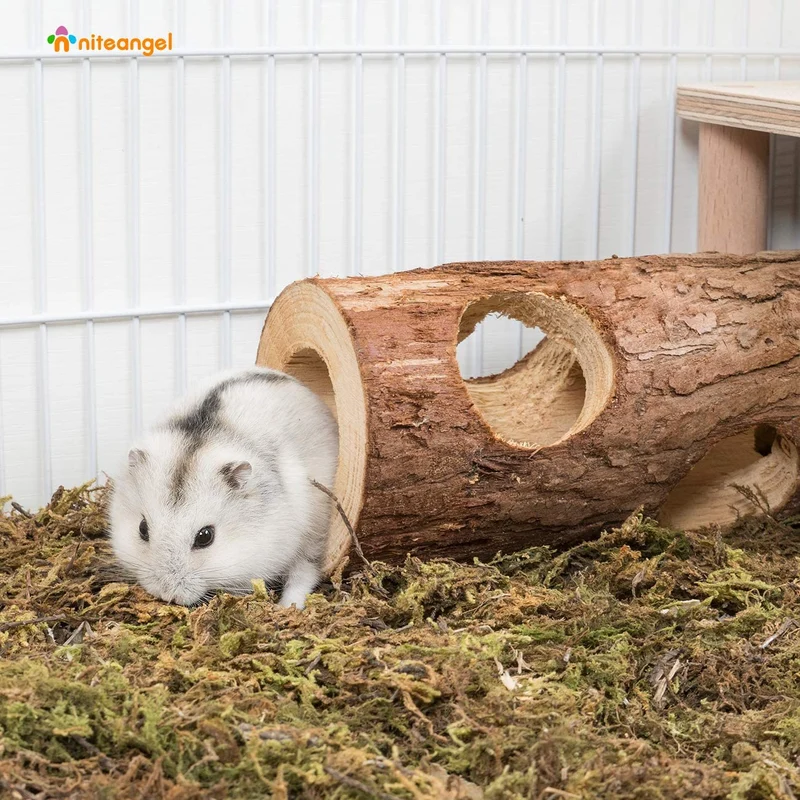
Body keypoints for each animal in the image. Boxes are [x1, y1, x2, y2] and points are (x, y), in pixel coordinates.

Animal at [108, 367, 338, 609]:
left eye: (205, 537)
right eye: (142, 528)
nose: (167, 594)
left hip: (314, 531)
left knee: (304, 572)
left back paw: (286, 606)